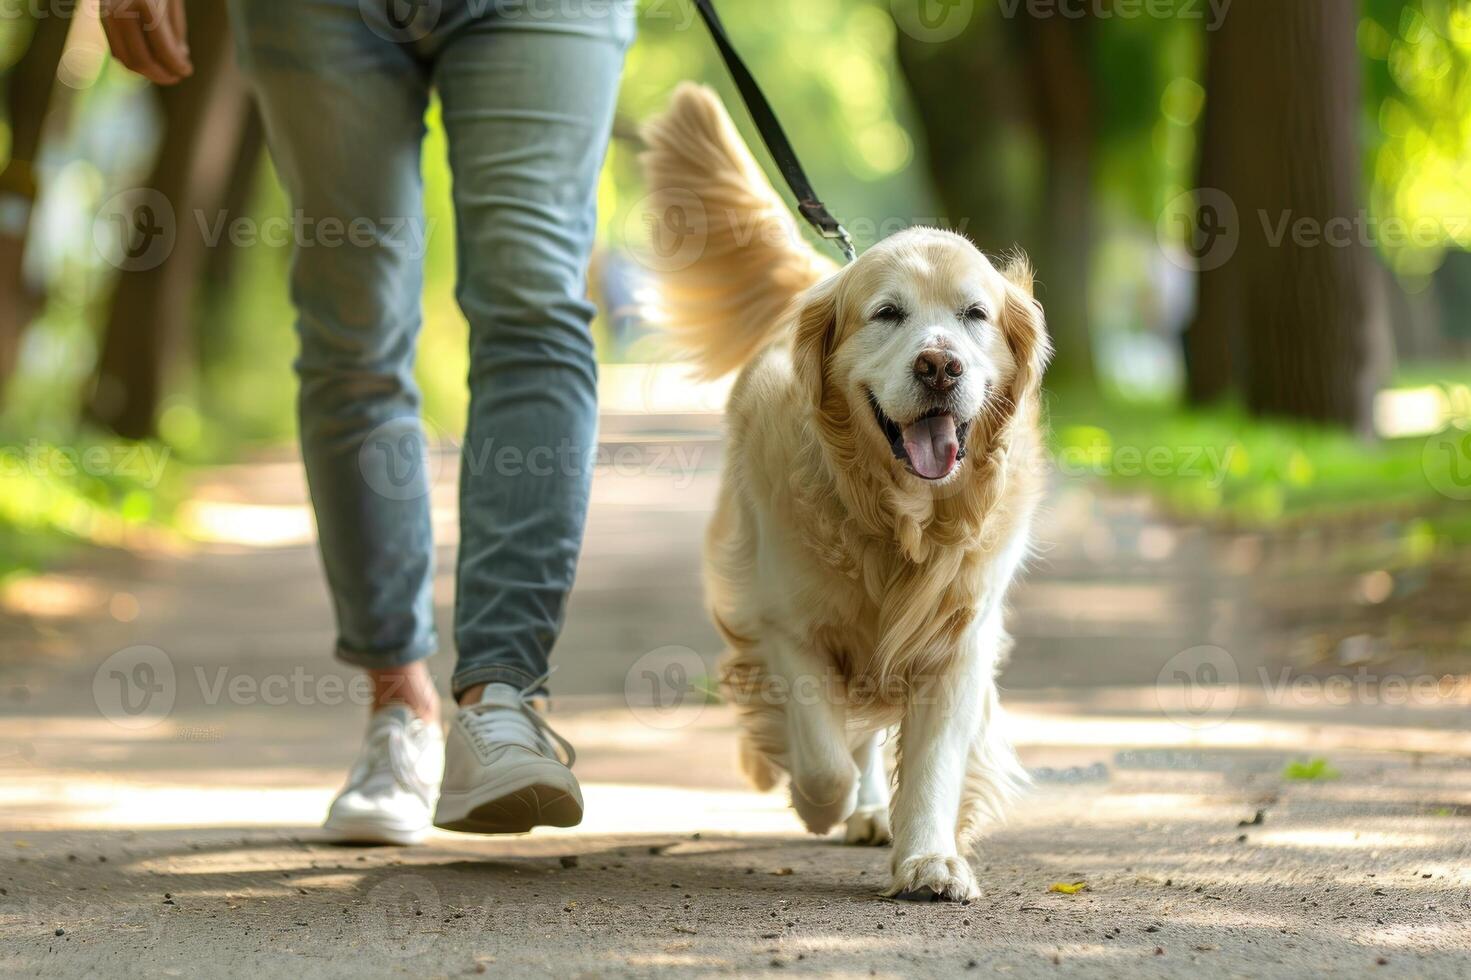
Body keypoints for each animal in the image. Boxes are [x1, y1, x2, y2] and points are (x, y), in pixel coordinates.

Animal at [641, 85, 1047, 900]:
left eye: (975, 315)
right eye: (887, 313)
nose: (939, 366)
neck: (898, 519)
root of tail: (818, 279)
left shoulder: (956, 639)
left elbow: (933, 765)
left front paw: (928, 858)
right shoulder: (784, 624)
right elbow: (823, 755)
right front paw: (813, 799)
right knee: (847, 741)